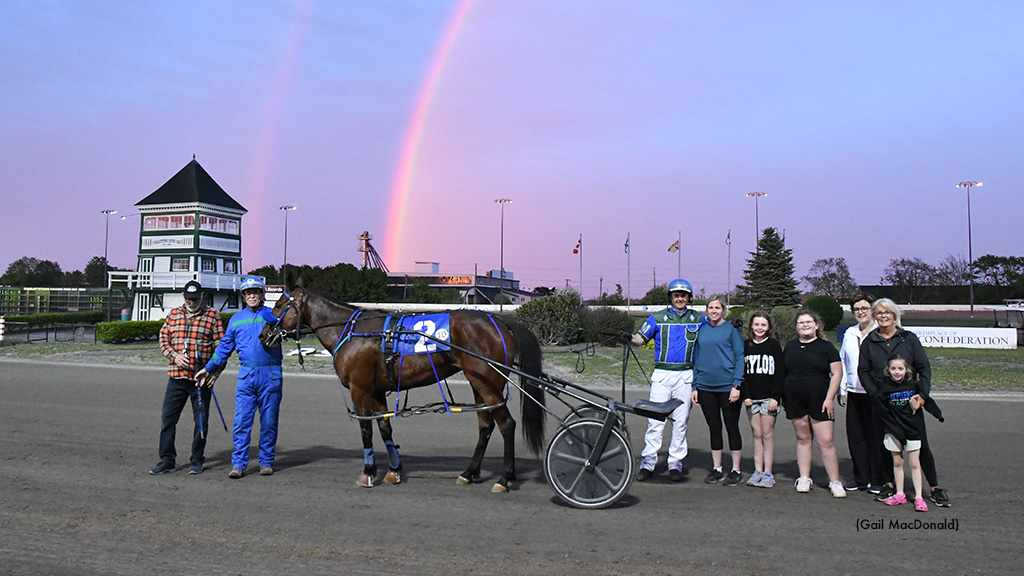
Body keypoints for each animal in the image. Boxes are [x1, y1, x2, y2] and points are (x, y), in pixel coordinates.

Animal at [260, 276, 548, 487]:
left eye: (277, 305)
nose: (265, 335)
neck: (353, 332)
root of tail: (498, 320)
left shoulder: (359, 389)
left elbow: (366, 430)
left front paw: (368, 471)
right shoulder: (377, 391)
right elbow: (385, 428)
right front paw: (394, 470)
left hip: (488, 381)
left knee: (506, 425)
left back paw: (505, 478)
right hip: (479, 382)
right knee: (486, 426)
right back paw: (469, 473)